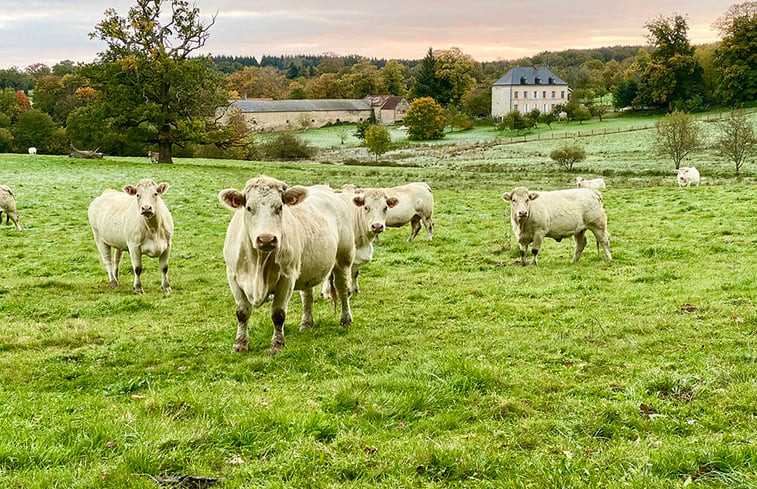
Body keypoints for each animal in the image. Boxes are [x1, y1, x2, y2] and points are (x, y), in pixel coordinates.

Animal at [219, 175, 354, 354]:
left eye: (280, 207)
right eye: (248, 208)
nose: (266, 239)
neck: (258, 264)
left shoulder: (287, 277)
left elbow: (278, 314)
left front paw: (277, 344)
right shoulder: (233, 276)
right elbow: (242, 312)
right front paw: (240, 344)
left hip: (343, 259)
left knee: (343, 290)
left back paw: (346, 320)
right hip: (307, 268)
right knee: (308, 295)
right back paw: (306, 323)